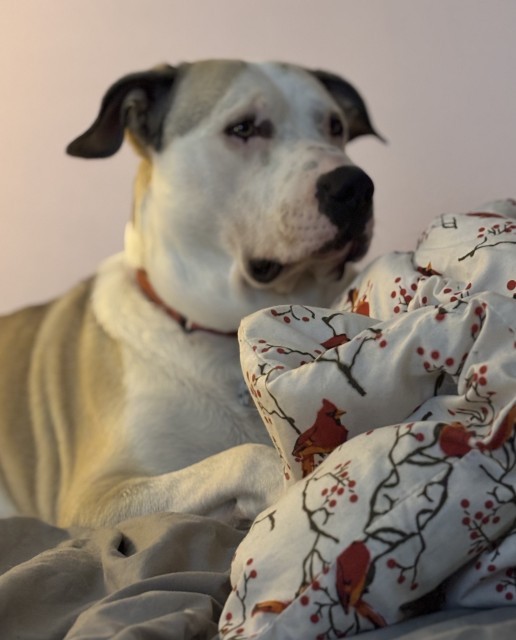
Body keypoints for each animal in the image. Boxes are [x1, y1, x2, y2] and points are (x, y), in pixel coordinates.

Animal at [0, 60, 380, 528]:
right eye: (243, 127)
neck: (224, 331)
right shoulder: (94, 499)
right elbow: (249, 457)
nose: (355, 186)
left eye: (335, 126)